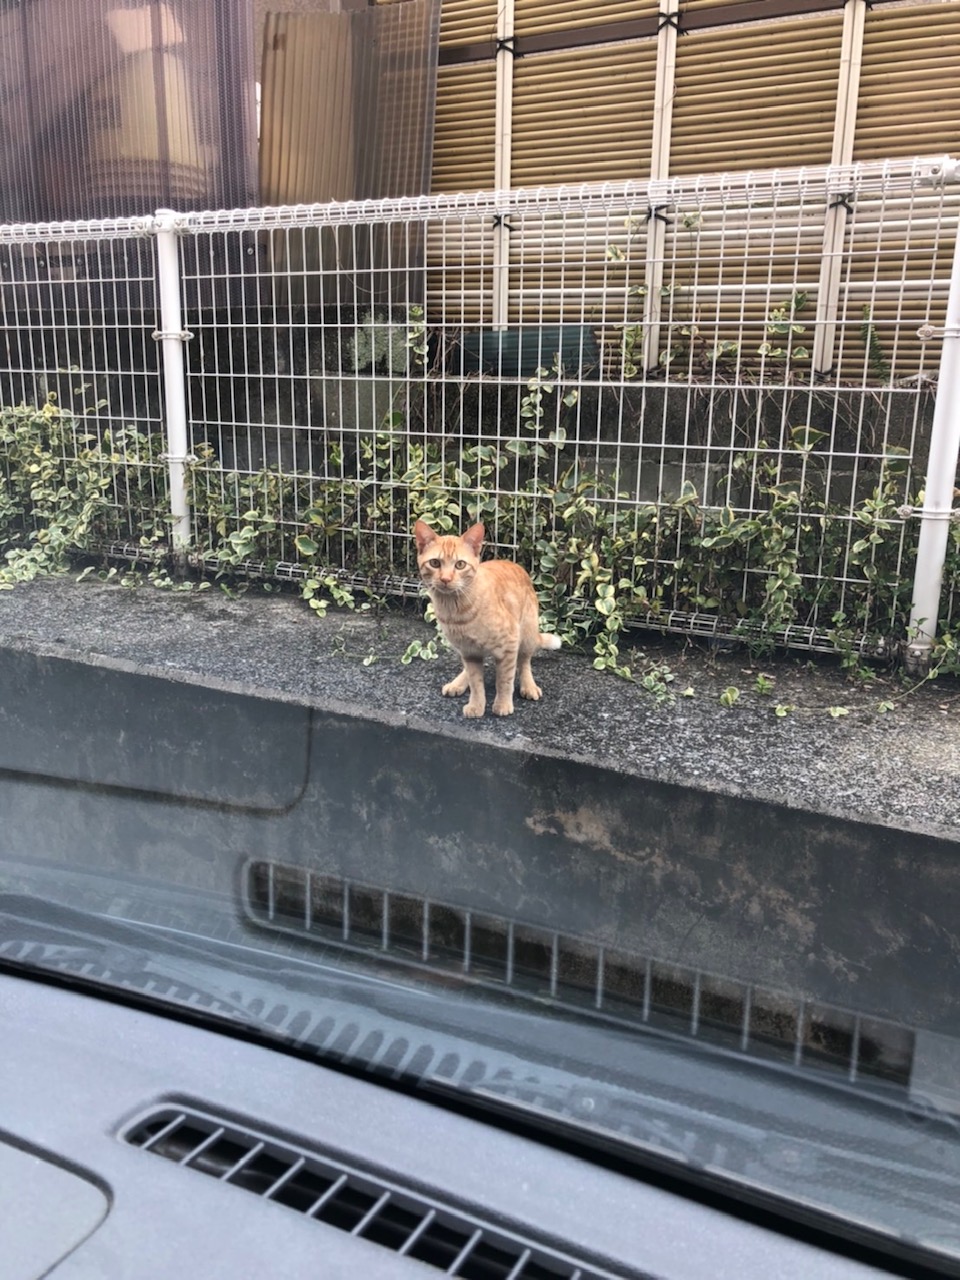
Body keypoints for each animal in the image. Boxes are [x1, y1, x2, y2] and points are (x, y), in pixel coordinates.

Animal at [414, 519, 563, 721]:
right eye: (435, 563)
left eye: (460, 565)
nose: (445, 579)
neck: (456, 609)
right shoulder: (469, 652)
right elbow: (476, 682)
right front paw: (476, 705)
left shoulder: (509, 643)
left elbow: (504, 680)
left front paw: (503, 704)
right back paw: (458, 683)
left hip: (527, 633)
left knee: (524, 662)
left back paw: (528, 685)